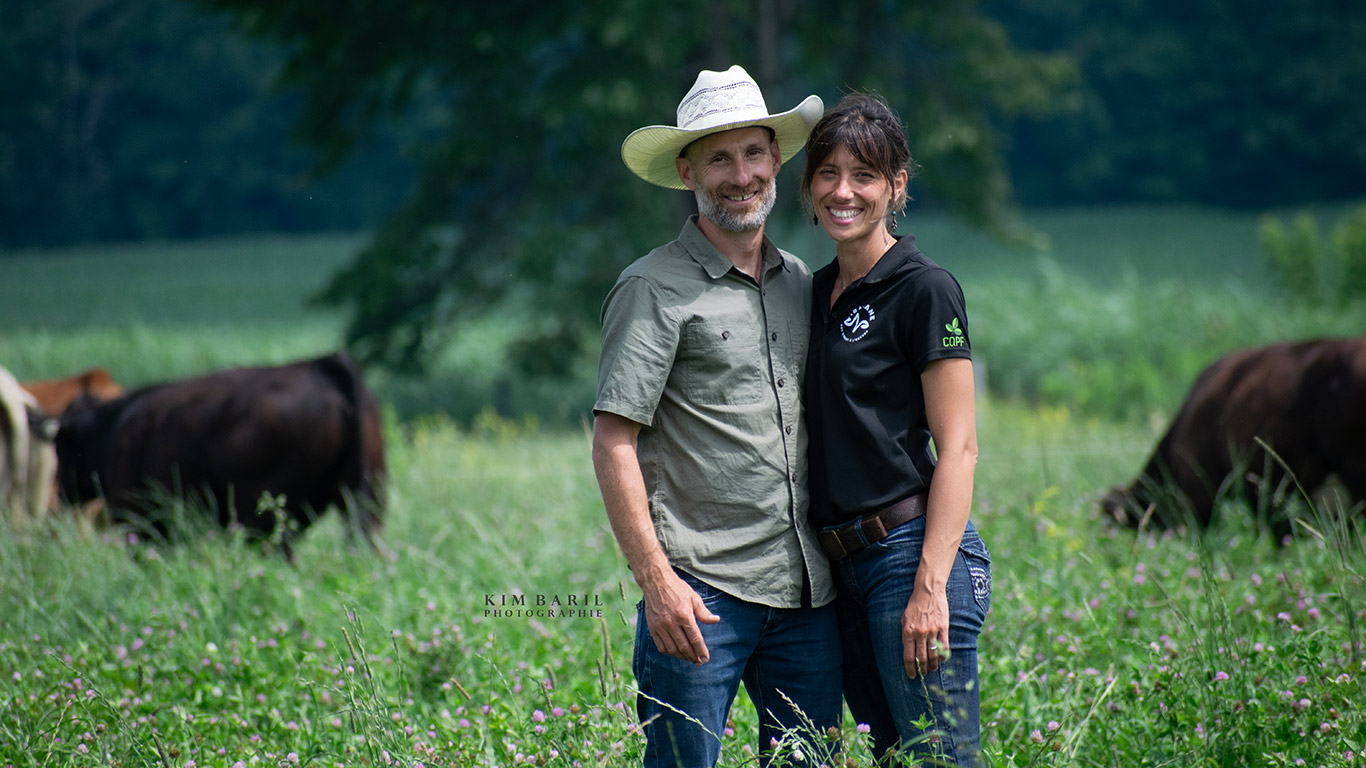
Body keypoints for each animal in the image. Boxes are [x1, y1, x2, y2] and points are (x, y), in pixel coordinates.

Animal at [53, 349, 385, 552]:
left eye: (60, 447)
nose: (59, 491)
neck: (113, 430)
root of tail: (325, 365)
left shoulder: (142, 524)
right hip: (365, 505)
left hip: (268, 521)